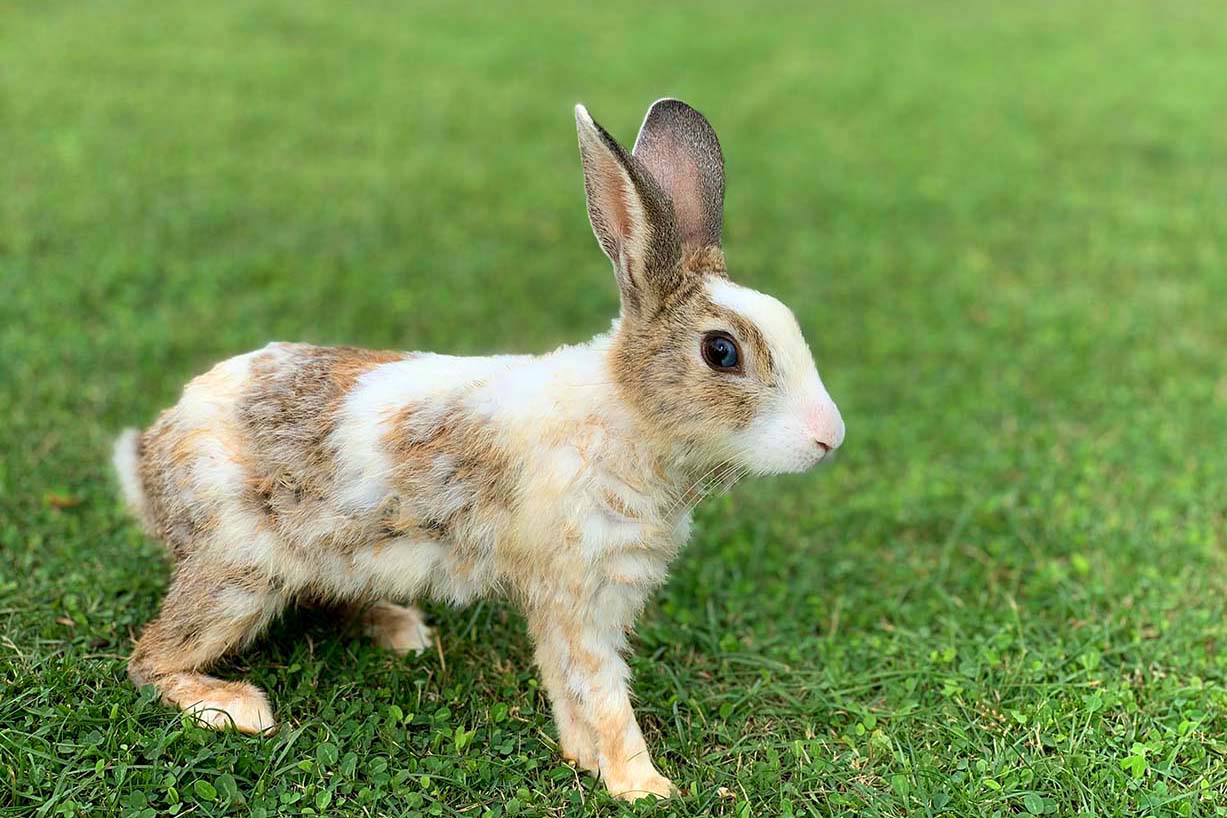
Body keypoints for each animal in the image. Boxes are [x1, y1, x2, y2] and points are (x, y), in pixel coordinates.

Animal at [115, 97, 844, 799]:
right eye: (721, 352)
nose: (829, 438)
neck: (626, 417)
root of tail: (148, 460)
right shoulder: (579, 593)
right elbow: (603, 692)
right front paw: (644, 787)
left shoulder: (565, 599)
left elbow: (563, 681)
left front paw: (584, 760)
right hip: (237, 575)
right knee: (149, 659)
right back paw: (236, 709)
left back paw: (403, 631)